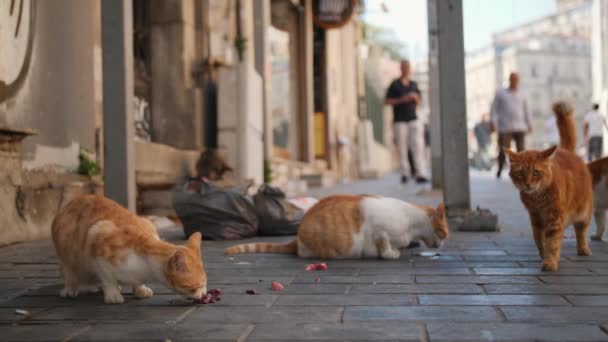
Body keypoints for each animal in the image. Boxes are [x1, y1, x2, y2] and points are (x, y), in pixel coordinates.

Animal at [51, 195, 207, 304]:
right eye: (197, 286)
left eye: (205, 284)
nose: (204, 294)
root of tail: (70, 202)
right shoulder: (97, 237)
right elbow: (107, 278)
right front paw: (113, 294)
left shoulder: (145, 222)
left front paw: (140, 288)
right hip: (67, 250)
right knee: (69, 270)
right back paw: (70, 288)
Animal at [223, 195, 446, 260]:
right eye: (444, 233)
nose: (442, 245)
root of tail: (297, 238)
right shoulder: (380, 230)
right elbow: (384, 244)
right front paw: (391, 253)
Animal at [504, 100, 592, 272]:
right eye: (520, 173)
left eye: (536, 172)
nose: (528, 183)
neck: (537, 198)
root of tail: (566, 151)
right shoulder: (536, 218)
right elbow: (540, 240)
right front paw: (544, 255)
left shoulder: (554, 218)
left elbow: (552, 242)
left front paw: (550, 262)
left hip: (583, 212)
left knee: (581, 231)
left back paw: (583, 248)